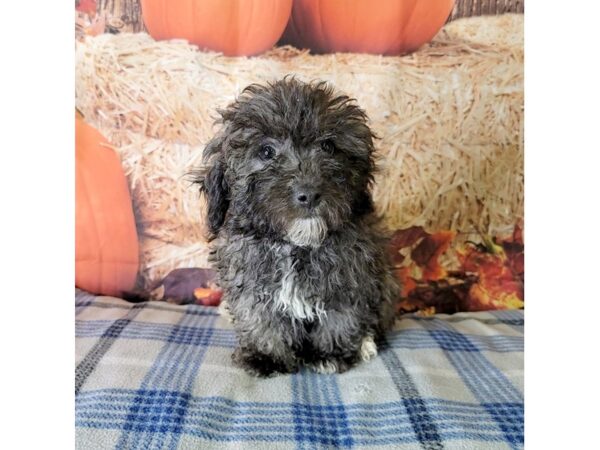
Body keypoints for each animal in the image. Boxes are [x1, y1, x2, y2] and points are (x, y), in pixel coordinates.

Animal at [196, 78, 398, 376]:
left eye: (328, 147)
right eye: (266, 151)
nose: (309, 194)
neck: (295, 246)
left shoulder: (351, 277)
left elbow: (341, 317)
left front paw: (330, 354)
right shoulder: (251, 281)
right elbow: (260, 318)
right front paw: (266, 355)